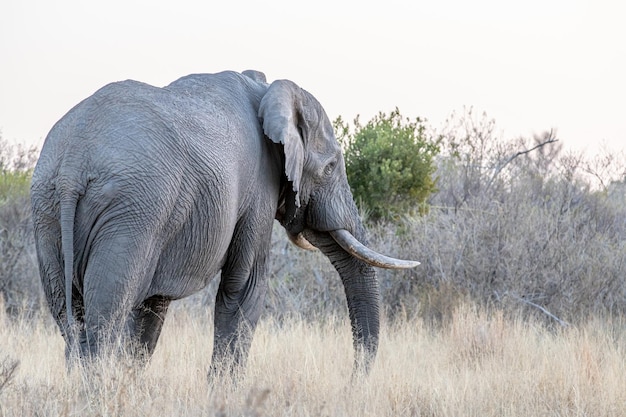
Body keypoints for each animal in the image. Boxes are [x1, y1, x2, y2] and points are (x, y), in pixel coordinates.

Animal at [30, 69, 420, 374]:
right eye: (331, 167)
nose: (353, 380)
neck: (266, 89)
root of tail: (73, 164)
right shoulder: (258, 187)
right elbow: (244, 286)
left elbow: (152, 308)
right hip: (131, 213)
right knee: (104, 320)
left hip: (49, 212)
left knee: (70, 321)